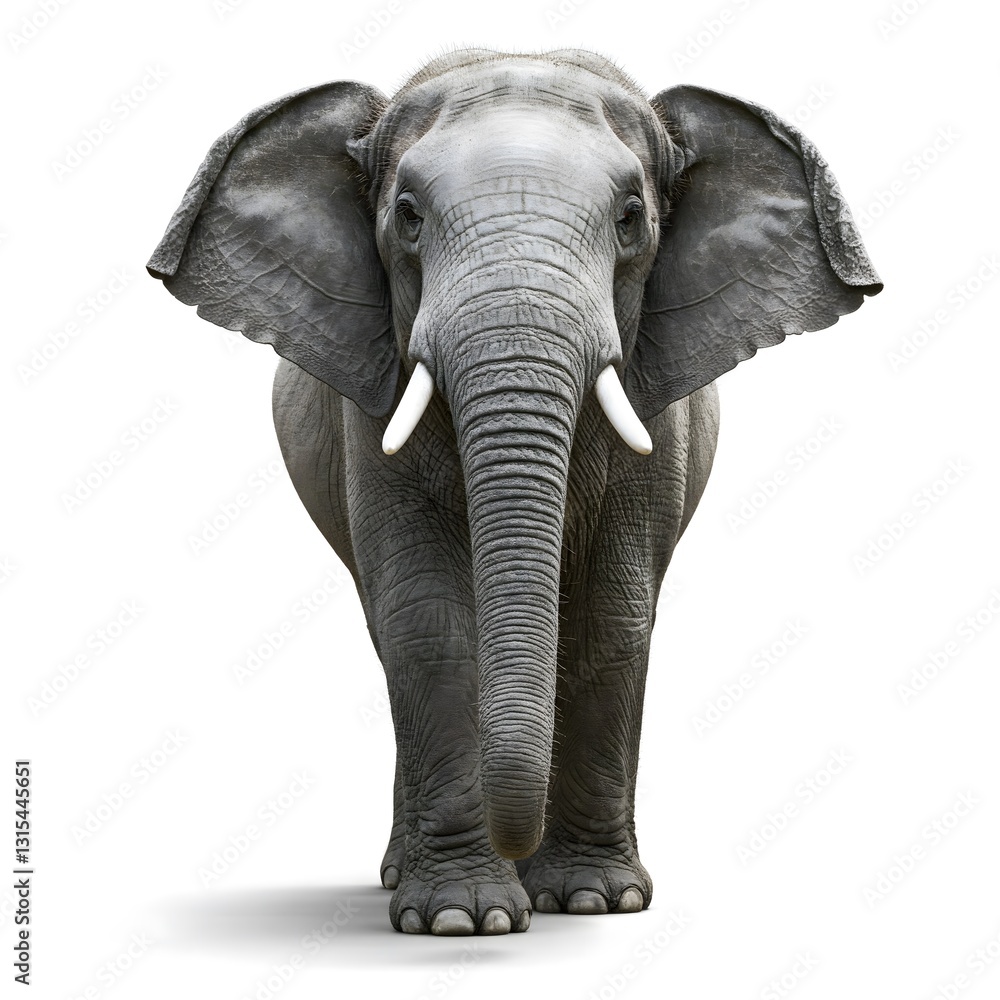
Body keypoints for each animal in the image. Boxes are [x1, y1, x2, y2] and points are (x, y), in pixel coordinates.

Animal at [148, 48, 881, 936]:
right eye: (407, 217)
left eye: (632, 219)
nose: (523, 882)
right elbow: (425, 619)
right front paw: (464, 919)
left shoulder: (659, 417)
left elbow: (611, 618)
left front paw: (596, 902)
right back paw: (401, 875)